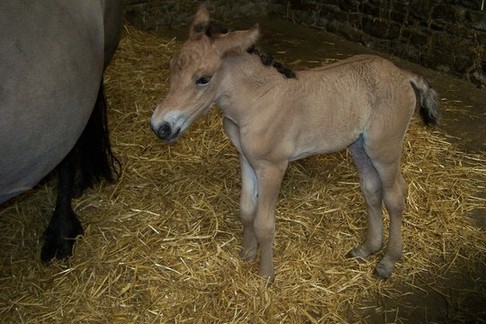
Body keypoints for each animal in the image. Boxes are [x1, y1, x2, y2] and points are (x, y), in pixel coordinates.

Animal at [150, 6, 438, 280]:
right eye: (172, 66)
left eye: (203, 78)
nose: (160, 127)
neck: (256, 101)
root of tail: (403, 74)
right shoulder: (246, 159)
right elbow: (246, 210)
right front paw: (247, 254)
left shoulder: (273, 167)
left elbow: (264, 224)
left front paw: (266, 276)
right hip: (359, 146)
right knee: (372, 190)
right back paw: (367, 248)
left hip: (384, 148)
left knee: (395, 195)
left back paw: (387, 262)